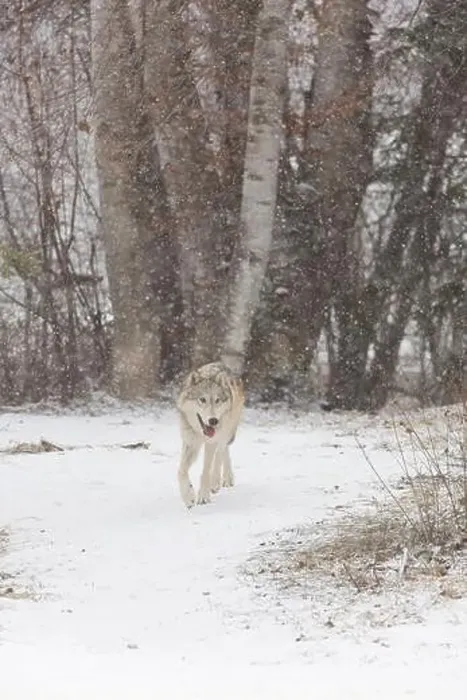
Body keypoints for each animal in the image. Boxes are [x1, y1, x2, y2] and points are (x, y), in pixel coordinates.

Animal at [176, 361, 245, 508]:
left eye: (217, 400)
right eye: (202, 399)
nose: (213, 420)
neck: (201, 433)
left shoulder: (211, 442)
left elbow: (206, 470)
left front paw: (203, 496)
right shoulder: (190, 443)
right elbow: (181, 471)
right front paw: (188, 496)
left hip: (226, 432)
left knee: (220, 452)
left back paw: (218, 481)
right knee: (224, 451)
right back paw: (225, 479)